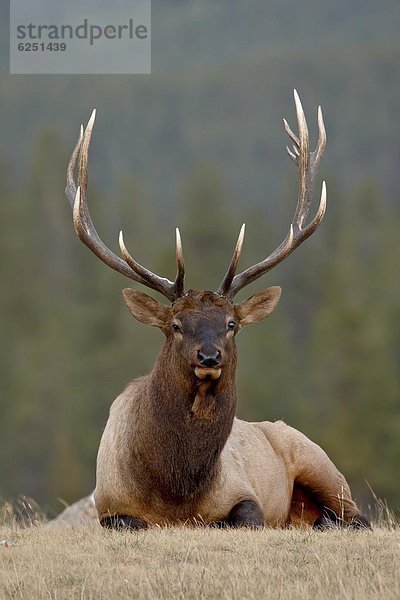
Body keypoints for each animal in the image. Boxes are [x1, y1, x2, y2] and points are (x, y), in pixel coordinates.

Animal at [65, 91, 368, 528]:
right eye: (175, 325)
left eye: (231, 324)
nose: (209, 356)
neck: (174, 491)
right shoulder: (109, 504)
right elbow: (128, 521)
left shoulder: (244, 493)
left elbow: (245, 516)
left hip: (322, 464)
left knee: (357, 515)